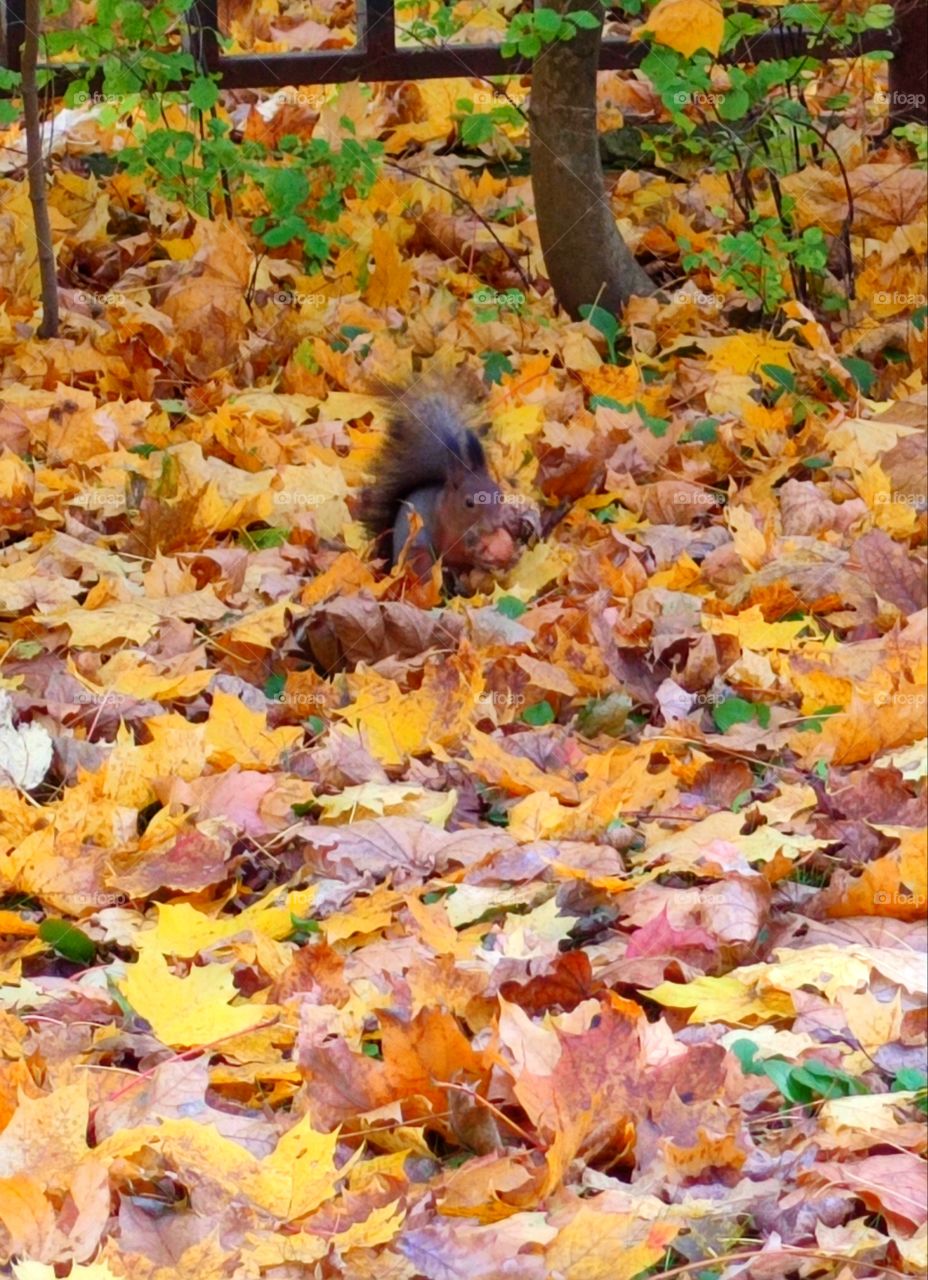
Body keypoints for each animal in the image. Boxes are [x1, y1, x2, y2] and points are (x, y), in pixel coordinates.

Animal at [360, 375, 530, 584]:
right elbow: (455, 553)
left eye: (499, 494)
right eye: (469, 503)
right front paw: (478, 555)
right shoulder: (446, 533)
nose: (495, 522)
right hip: (419, 558)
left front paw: (511, 523)